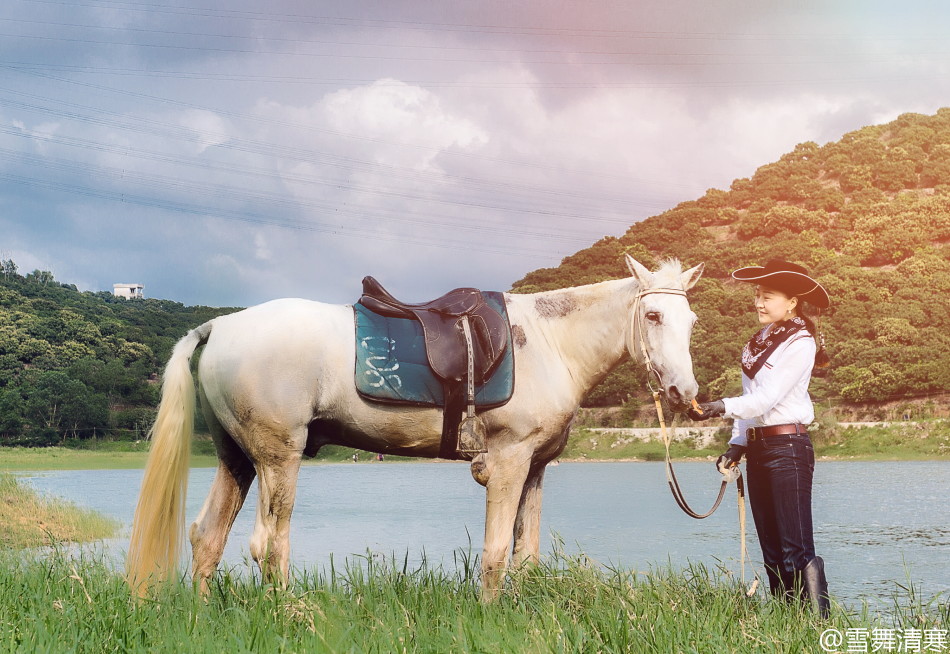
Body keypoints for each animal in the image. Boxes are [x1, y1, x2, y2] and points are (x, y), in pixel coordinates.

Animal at [126, 255, 704, 598]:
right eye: (653, 316)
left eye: (691, 321)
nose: (684, 392)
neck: (547, 342)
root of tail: (219, 325)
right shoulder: (508, 462)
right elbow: (496, 553)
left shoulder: (536, 468)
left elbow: (526, 555)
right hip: (277, 458)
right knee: (268, 543)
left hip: (237, 458)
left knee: (208, 536)